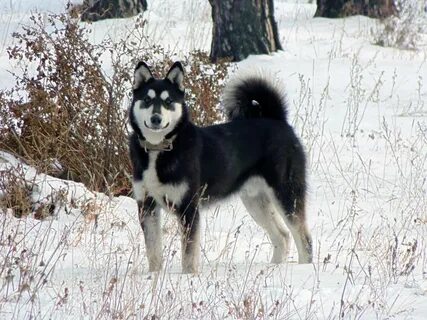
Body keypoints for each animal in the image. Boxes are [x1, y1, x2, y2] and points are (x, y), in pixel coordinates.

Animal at [129, 62, 312, 272]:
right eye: (147, 99)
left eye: (169, 101)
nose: (156, 119)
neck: (160, 149)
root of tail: (277, 120)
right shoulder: (147, 207)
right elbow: (153, 253)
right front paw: (154, 276)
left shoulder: (189, 208)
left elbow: (188, 256)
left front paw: (188, 276)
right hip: (256, 201)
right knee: (282, 236)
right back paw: (272, 269)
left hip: (286, 194)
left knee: (304, 239)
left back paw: (304, 268)